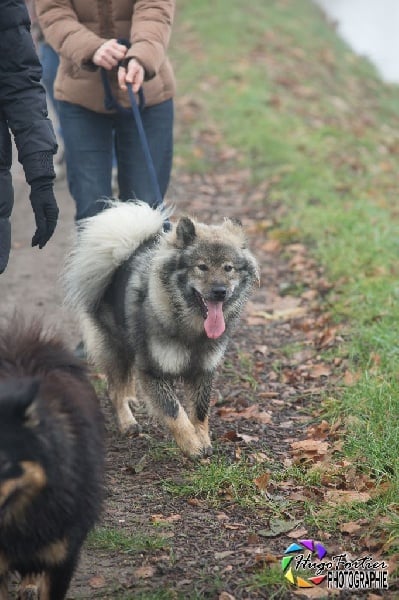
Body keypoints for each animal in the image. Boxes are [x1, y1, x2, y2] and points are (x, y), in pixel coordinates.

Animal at [65, 199, 260, 458]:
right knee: (114, 390)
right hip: (116, 348)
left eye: (228, 268)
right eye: (202, 267)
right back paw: (127, 422)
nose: (220, 291)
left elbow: (200, 411)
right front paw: (192, 446)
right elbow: (174, 411)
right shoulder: (152, 370)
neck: (192, 330)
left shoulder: (203, 370)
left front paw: (203, 440)